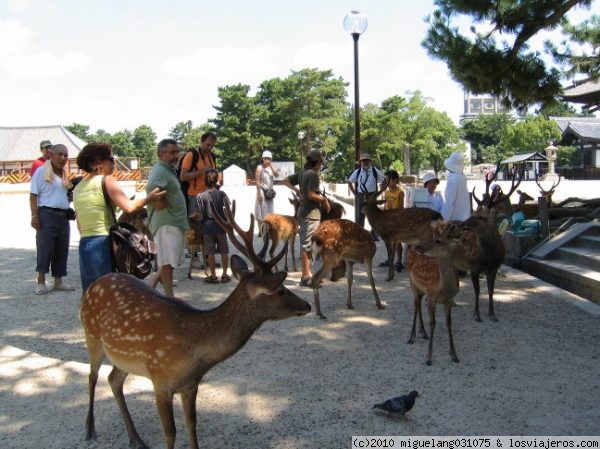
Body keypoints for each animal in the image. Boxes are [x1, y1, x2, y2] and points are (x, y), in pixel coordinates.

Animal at [80, 199, 312, 448]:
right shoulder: (160, 380)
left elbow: (192, 424)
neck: (194, 352)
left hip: (124, 358)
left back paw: (136, 438)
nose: (307, 305)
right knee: (93, 377)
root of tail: (94, 284)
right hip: (91, 335)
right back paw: (90, 429)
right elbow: (170, 433)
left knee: (114, 379)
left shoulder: (191, 384)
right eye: (279, 290)